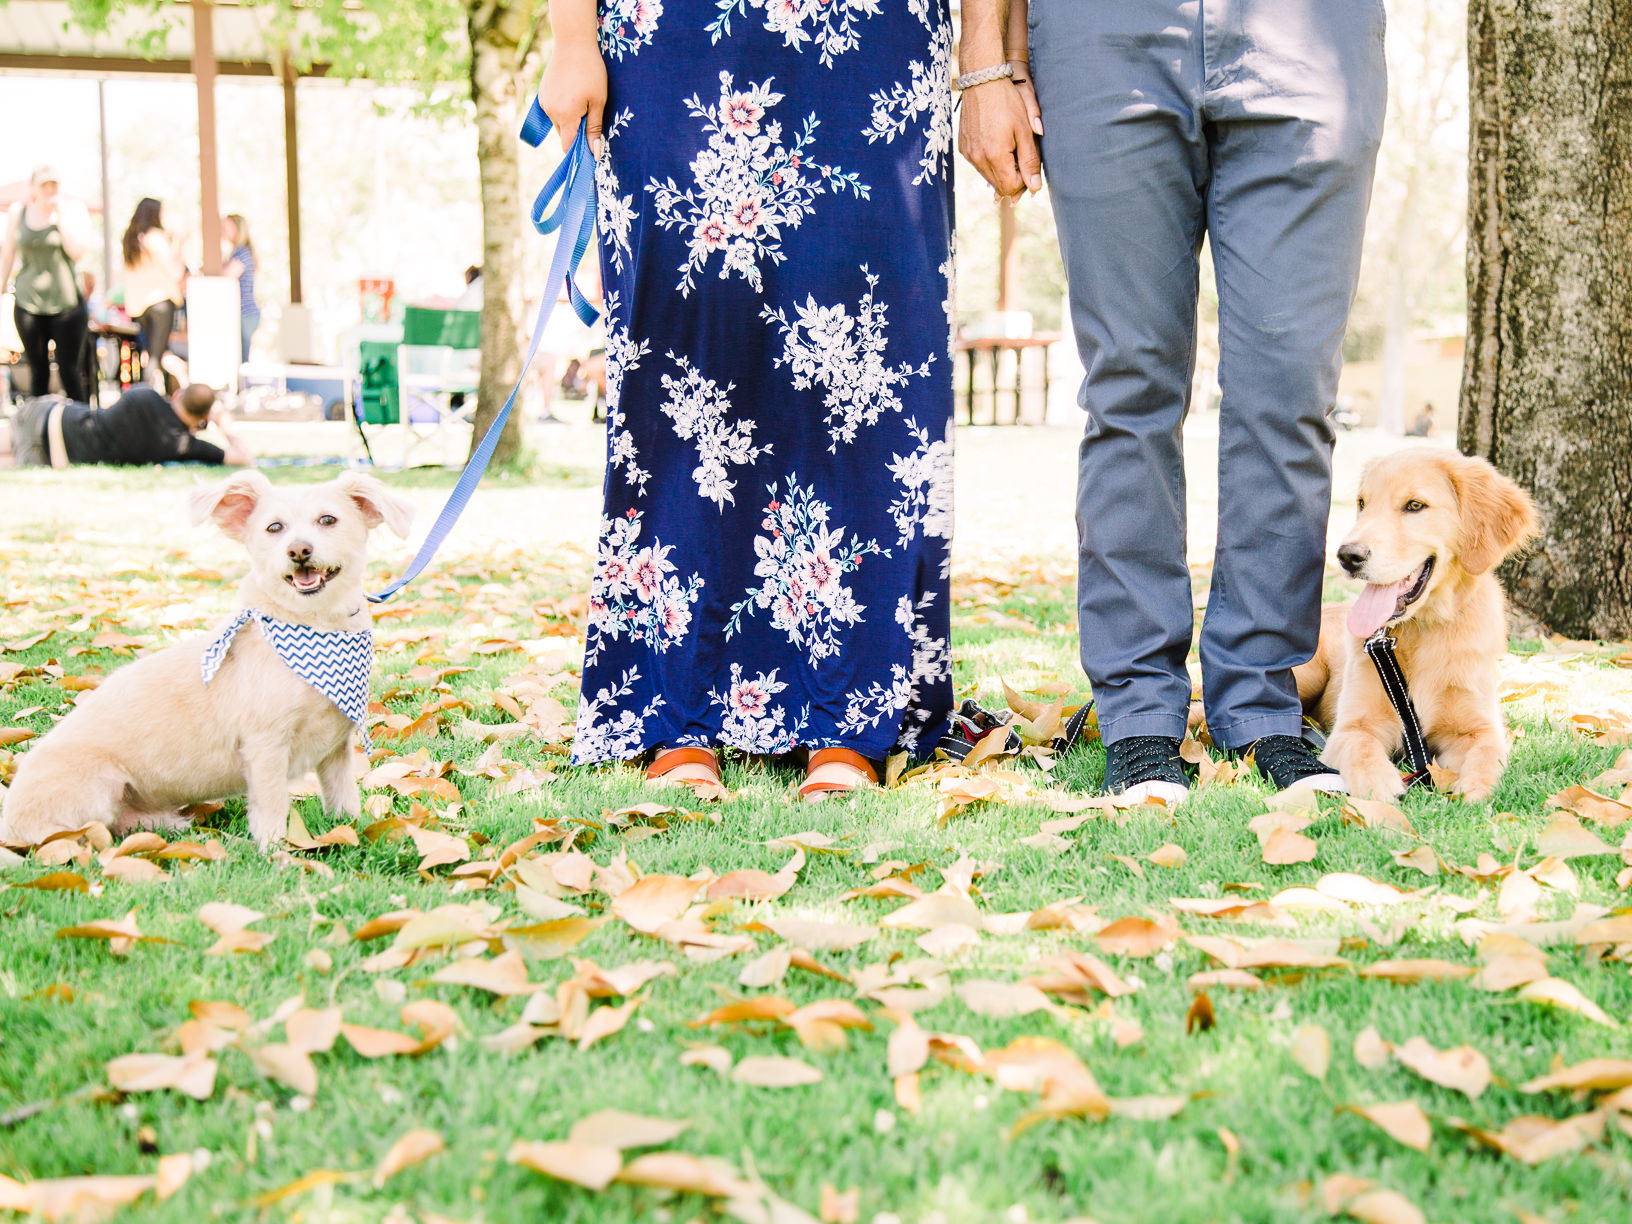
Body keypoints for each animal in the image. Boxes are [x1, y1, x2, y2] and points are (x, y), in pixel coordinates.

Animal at [0, 470, 414, 855]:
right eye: (274, 527)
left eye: (328, 519)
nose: (298, 550)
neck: (315, 625)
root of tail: (9, 825)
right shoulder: (266, 746)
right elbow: (272, 807)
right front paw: (277, 854)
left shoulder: (336, 749)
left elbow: (344, 801)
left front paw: (352, 832)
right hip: (96, 787)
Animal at [1292, 450, 1534, 806]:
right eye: (1362, 503)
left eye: (1415, 505)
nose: (1347, 556)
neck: (1424, 628)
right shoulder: (1353, 726)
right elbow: (1361, 749)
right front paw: (1379, 786)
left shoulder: (1479, 728)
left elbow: (1487, 756)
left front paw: (1474, 790)